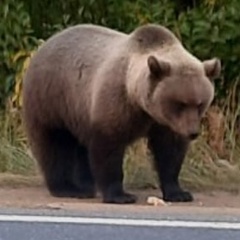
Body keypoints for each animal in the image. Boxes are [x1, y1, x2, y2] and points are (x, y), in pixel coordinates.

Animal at [22, 23, 221, 204]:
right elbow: (109, 149)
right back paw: (67, 188)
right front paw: (120, 195)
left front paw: (179, 193)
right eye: (180, 103)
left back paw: (86, 185)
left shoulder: (165, 123)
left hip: (78, 111)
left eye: (200, 103)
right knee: (55, 144)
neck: (140, 102)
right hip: (52, 99)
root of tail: (44, 44)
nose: (192, 132)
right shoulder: (116, 102)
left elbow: (170, 152)